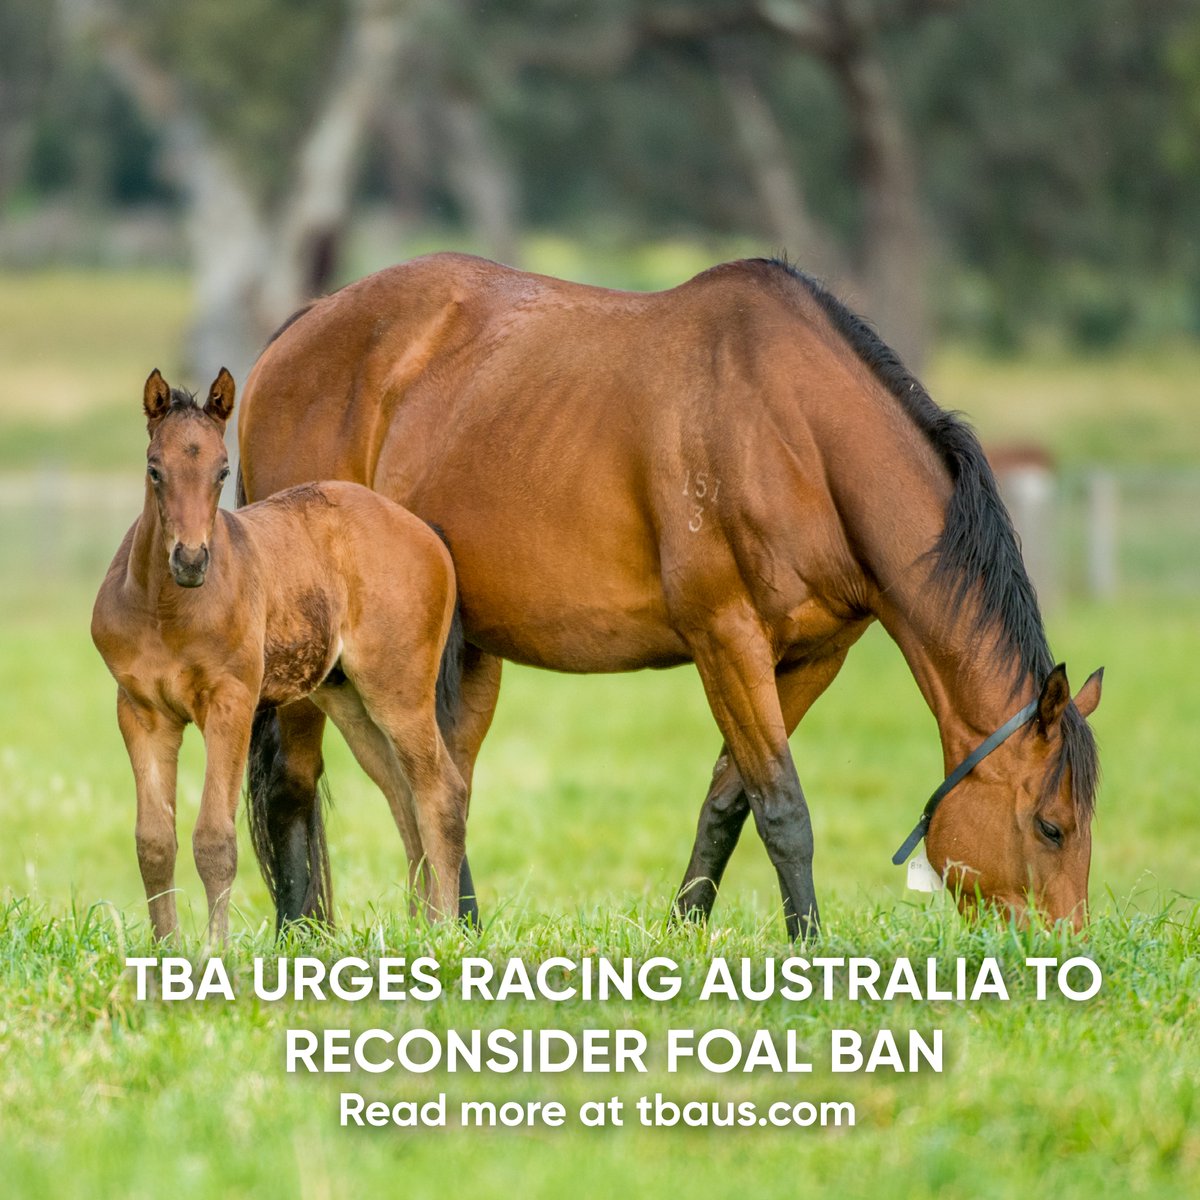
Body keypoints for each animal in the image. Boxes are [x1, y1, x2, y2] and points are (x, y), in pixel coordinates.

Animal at [91, 368, 469, 941]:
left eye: (223, 470)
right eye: (155, 469)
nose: (191, 560)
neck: (163, 610)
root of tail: (426, 532)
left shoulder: (231, 703)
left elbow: (215, 841)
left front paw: (215, 950)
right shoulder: (140, 712)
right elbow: (154, 843)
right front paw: (164, 949)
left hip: (398, 692)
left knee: (441, 793)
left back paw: (442, 931)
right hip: (349, 701)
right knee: (404, 799)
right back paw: (416, 930)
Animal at [237, 253, 1103, 939]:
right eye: (1052, 827)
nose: (1065, 952)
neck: (796, 434)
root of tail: (296, 333)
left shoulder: (811, 658)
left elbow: (729, 800)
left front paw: (686, 929)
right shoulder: (726, 640)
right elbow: (783, 808)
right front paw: (811, 948)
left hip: (460, 649)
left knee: (440, 785)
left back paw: (460, 931)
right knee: (293, 782)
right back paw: (304, 939)